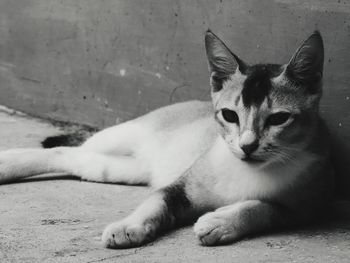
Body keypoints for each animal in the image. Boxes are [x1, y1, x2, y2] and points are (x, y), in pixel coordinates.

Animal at [0, 29, 334, 249]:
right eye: (229, 115)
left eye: (278, 119)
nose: (247, 145)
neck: (248, 170)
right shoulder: (179, 187)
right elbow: (155, 202)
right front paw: (129, 226)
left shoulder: (306, 208)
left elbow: (262, 207)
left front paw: (220, 222)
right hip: (123, 135)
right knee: (68, 148)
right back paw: (7, 161)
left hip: (122, 169)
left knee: (71, 158)